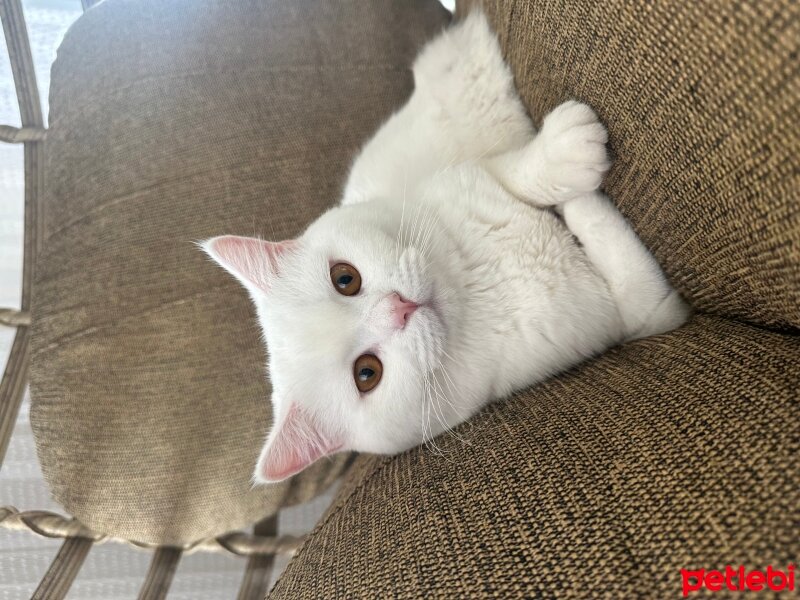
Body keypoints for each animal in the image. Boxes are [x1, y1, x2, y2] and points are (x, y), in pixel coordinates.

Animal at [202, 11, 688, 486]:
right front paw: (579, 200)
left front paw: (564, 155)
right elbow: (615, 250)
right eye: (366, 374)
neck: (478, 276)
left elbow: (516, 171)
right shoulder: (642, 314)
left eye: (344, 278)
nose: (399, 308)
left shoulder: (473, 173)